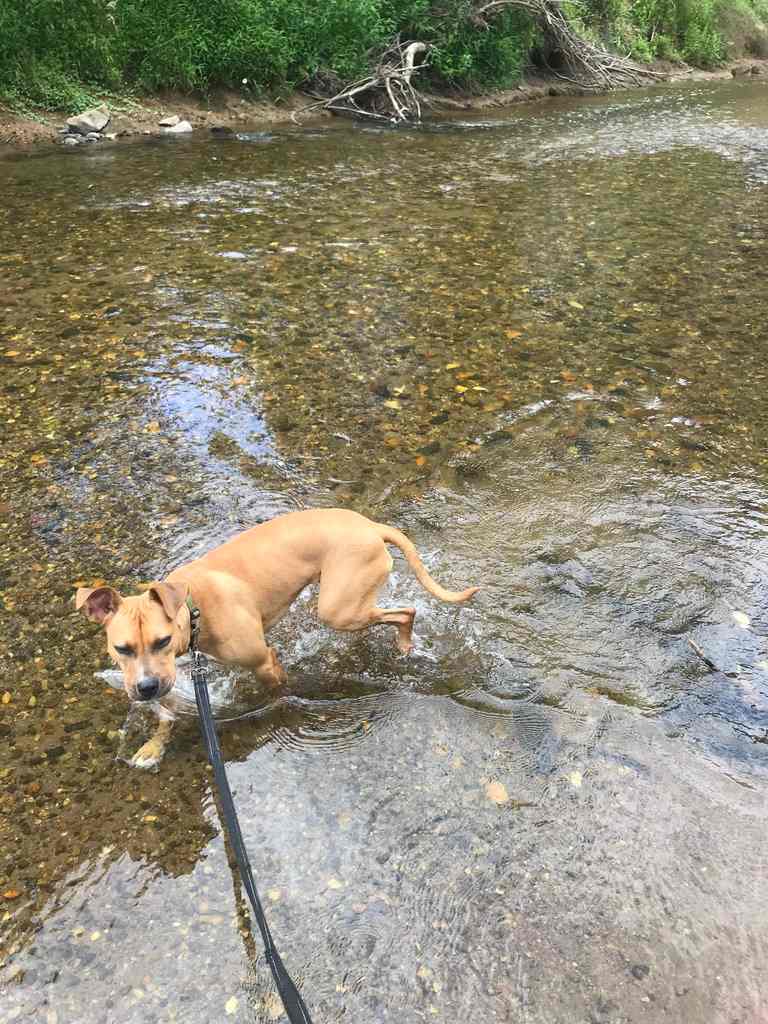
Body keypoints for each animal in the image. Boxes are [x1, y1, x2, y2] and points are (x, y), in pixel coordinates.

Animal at [75, 507, 479, 765]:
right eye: (121, 648)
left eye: (161, 641)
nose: (144, 688)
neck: (194, 607)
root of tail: (370, 526)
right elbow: (166, 714)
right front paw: (151, 748)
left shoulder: (263, 662)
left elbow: (276, 694)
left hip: (337, 609)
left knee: (406, 612)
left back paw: (406, 643)